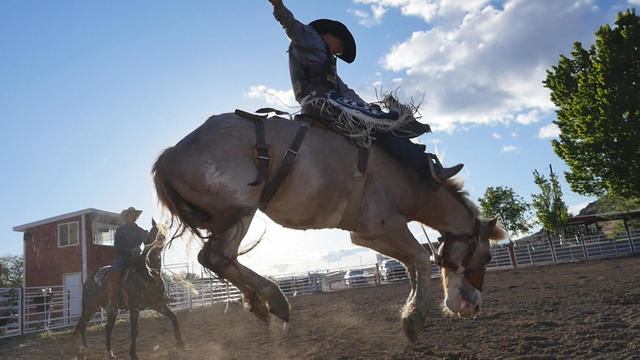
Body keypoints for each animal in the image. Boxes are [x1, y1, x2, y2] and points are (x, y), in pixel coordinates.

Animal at [72, 219, 184, 360]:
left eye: (163, 232)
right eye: (152, 233)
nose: (157, 245)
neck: (147, 273)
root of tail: (88, 280)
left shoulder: (156, 303)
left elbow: (173, 317)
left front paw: (180, 343)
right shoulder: (134, 306)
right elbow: (134, 330)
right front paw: (133, 354)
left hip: (111, 309)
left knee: (107, 328)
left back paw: (110, 354)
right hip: (90, 306)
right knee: (83, 325)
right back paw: (83, 349)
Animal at [152, 110, 508, 344]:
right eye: (488, 257)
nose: (473, 306)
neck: (414, 180)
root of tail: (170, 154)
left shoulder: (370, 234)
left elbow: (410, 263)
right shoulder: (378, 227)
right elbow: (420, 259)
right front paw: (413, 319)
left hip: (235, 215)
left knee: (220, 258)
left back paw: (260, 304)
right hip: (241, 209)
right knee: (215, 257)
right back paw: (276, 300)